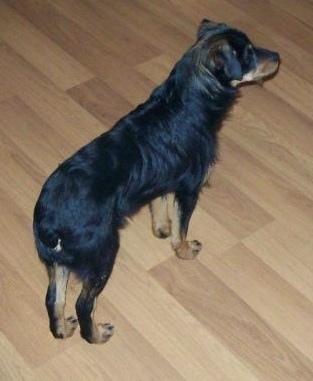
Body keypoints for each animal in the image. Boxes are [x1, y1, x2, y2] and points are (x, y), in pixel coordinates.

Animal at [33, 19, 280, 342]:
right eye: (249, 53)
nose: (278, 57)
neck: (187, 97)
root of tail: (49, 224)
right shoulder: (189, 188)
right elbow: (181, 227)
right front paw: (183, 251)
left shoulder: (164, 176)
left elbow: (159, 202)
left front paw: (160, 229)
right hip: (102, 253)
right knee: (83, 303)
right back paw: (97, 335)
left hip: (59, 261)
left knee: (54, 298)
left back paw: (62, 330)